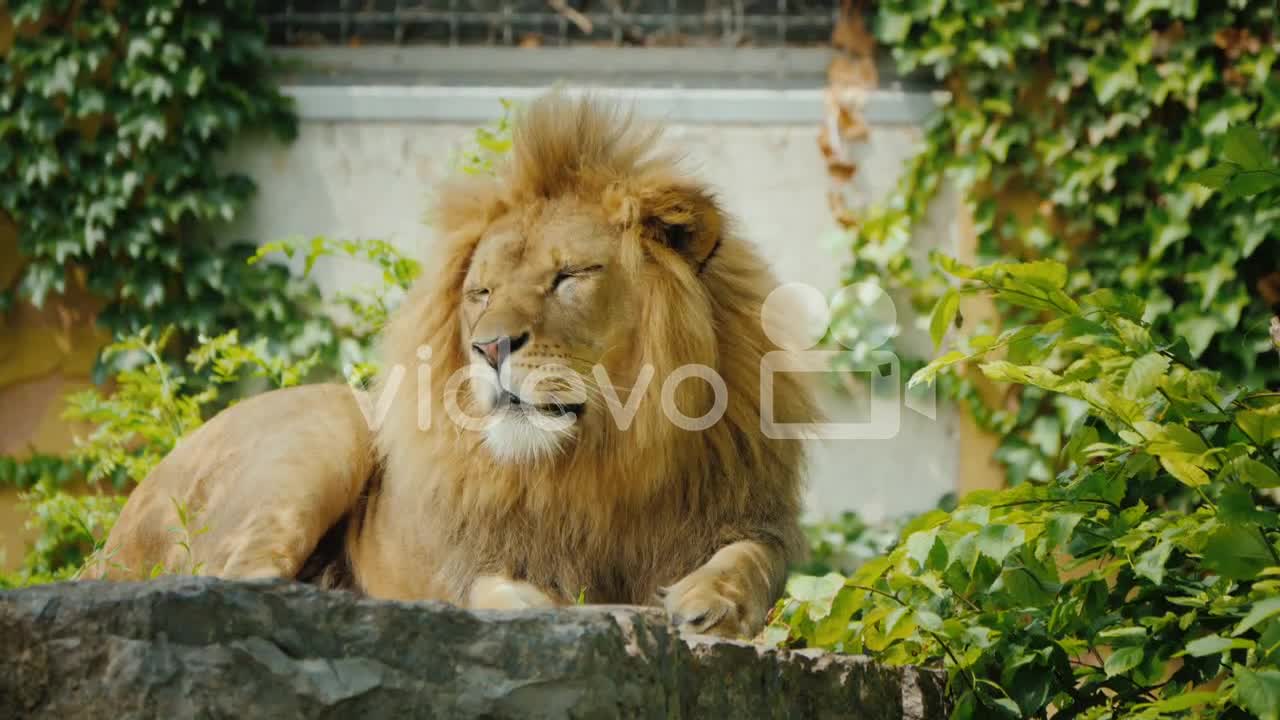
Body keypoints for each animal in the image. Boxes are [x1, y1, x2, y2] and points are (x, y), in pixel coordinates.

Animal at [90, 92, 814, 635]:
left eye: (569, 277)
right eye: (482, 293)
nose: (489, 348)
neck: (603, 463)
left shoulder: (754, 514)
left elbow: (755, 559)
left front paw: (710, 602)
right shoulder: (472, 559)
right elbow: (500, 591)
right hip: (328, 424)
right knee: (238, 581)